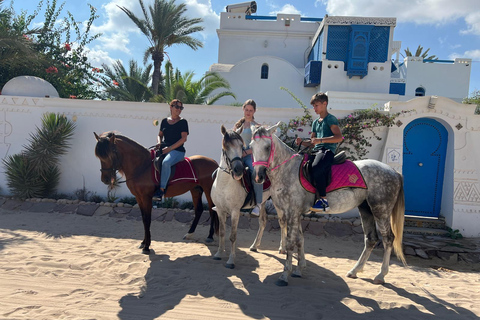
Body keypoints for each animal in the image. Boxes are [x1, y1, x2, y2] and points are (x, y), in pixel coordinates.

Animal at [210, 126, 278, 268]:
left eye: (242, 146)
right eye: (226, 146)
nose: (238, 170)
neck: (225, 184)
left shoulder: (235, 211)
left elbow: (232, 236)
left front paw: (231, 261)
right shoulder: (220, 210)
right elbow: (222, 233)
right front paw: (219, 254)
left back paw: (283, 249)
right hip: (263, 202)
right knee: (263, 221)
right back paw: (254, 246)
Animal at [251, 123, 404, 288]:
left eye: (267, 147)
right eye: (251, 146)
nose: (259, 176)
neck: (288, 170)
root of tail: (393, 171)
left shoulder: (292, 212)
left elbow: (291, 243)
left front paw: (285, 275)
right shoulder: (293, 213)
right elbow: (299, 239)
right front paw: (299, 269)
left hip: (381, 210)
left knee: (388, 239)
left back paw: (381, 275)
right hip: (366, 209)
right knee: (371, 239)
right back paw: (355, 270)